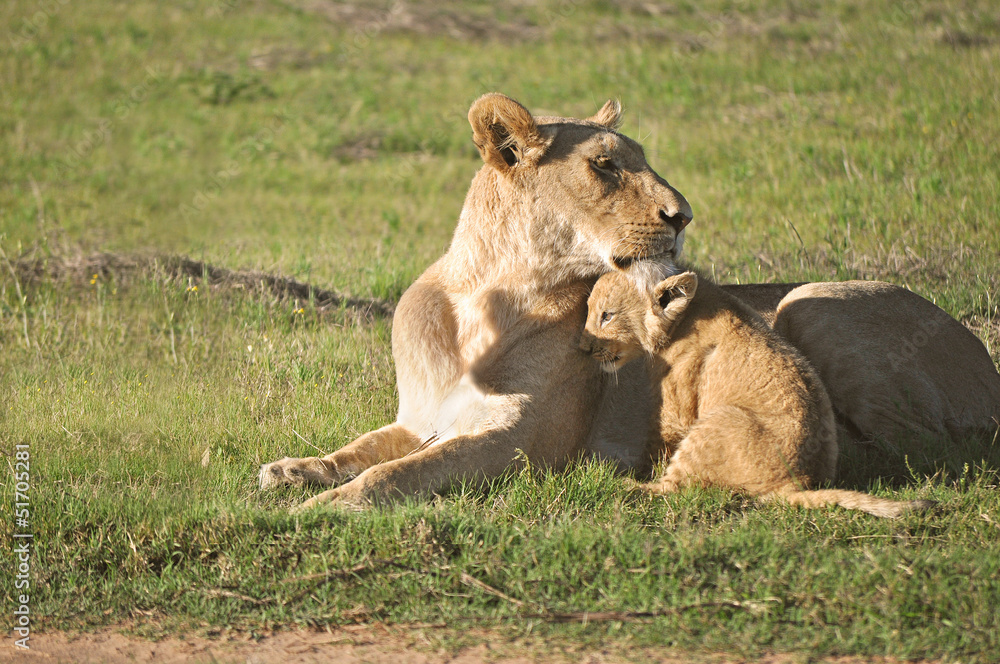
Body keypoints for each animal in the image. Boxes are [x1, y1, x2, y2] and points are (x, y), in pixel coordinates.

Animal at [581, 270, 936, 518]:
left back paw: (619, 483)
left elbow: (661, 440)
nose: (583, 348)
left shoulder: (677, 405)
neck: (682, 319)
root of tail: (795, 483)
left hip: (718, 420)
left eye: (607, 315)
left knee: (676, 488)